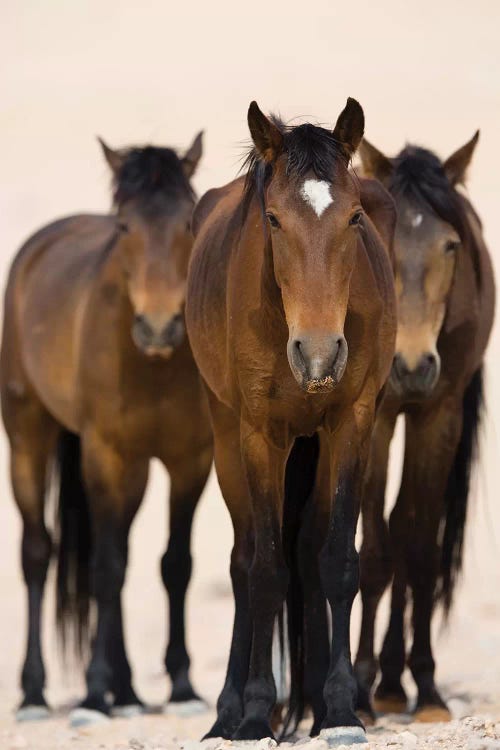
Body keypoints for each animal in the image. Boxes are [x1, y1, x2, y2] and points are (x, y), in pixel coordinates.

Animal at [0, 135, 212, 728]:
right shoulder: (105, 454)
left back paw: (130, 691)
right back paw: (35, 693)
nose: (158, 328)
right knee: (39, 554)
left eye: (187, 222)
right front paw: (94, 694)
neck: (153, 368)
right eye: (124, 227)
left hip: (135, 473)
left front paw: (182, 687)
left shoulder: (191, 461)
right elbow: (105, 567)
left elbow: (174, 564)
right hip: (28, 438)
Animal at [186, 101, 396, 748]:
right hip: (226, 440)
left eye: (355, 217)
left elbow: (337, 563)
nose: (320, 354)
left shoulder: (352, 424)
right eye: (274, 220)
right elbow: (264, 570)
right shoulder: (260, 436)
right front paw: (256, 713)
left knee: (305, 551)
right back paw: (227, 713)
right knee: (243, 559)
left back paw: (310, 706)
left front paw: (340, 708)